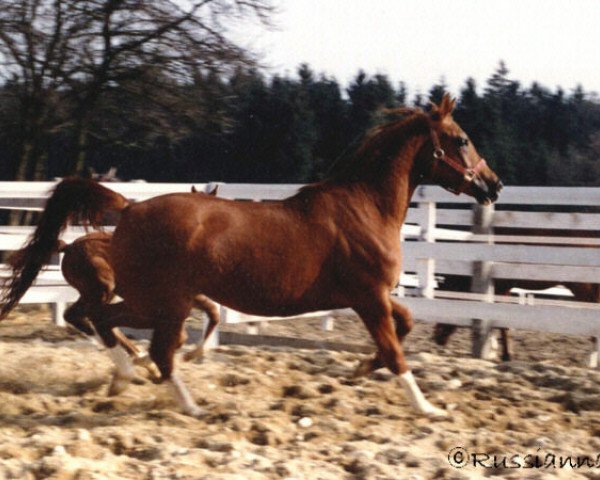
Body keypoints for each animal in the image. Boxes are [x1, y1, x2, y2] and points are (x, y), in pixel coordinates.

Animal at [2, 96, 504, 416]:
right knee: (147, 343)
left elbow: (405, 327)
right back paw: (189, 405)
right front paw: (428, 408)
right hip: (164, 302)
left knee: (107, 323)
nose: (493, 185)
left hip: (154, 301)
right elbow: (397, 352)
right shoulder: (368, 297)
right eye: (461, 140)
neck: (364, 206)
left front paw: (361, 368)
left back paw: (128, 377)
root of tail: (129, 209)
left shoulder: (372, 297)